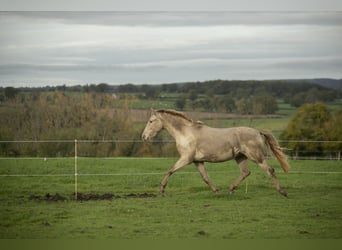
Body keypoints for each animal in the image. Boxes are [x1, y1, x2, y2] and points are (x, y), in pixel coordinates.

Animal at [140, 108, 290, 196]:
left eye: (151, 121)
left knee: (270, 170)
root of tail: (257, 132)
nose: (144, 137)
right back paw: (231, 189)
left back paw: (282, 191)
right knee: (245, 172)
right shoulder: (197, 161)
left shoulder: (186, 159)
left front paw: (161, 189)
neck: (185, 133)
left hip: (256, 157)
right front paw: (216, 190)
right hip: (240, 157)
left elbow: (170, 170)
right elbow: (205, 177)